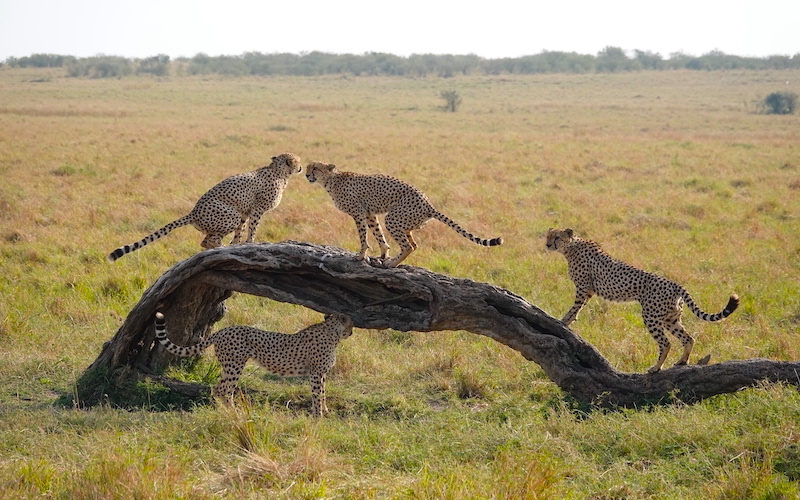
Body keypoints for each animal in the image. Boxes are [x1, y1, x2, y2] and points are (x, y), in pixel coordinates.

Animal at [108, 152, 302, 262]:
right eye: (297, 161)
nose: (300, 167)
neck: (279, 172)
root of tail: (193, 212)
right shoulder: (257, 209)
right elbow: (252, 228)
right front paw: (250, 242)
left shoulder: (245, 211)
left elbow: (240, 230)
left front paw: (236, 245)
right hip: (229, 215)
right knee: (208, 240)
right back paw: (220, 247)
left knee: (204, 241)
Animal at [155, 310, 354, 416]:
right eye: (351, 324)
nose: (352, 332)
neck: (332, 333)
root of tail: (223, 330)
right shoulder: (315, 373)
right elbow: (317, 394)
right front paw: (318, 415)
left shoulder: (322, 373)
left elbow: (323, 392)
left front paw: (325, 410)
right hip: (234, 366)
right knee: (224, 389)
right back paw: (234, 413)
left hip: (228, 367)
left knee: (217, 388)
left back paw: (224, 411)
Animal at [304, 162, 500, 268]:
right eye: (307, 167)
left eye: (315, 168)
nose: (306, 174)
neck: (330, 181)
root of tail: (429, 204)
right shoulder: (370, 213)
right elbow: (378, 234)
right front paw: (383, 254)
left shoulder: (359, 213)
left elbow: (363, 237)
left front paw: (360, 256)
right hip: (405, 223)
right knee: (414, 244)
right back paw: (392, 262)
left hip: (393, 218)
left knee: (408, 246)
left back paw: (392, 264)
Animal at [548, 229, 740, 374]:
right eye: (548, 236)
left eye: (557, 237)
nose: (548, 245)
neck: (571, 247)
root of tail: (674, 284)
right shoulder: (588, 291)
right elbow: (579, 308)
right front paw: (569, 321)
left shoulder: (583, 288)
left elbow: (575, 307)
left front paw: (564, 321)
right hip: (671, 319)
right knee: (688, 338)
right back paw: (682, 362)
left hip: (651, 317)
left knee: (666, 343)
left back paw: (656, 368)